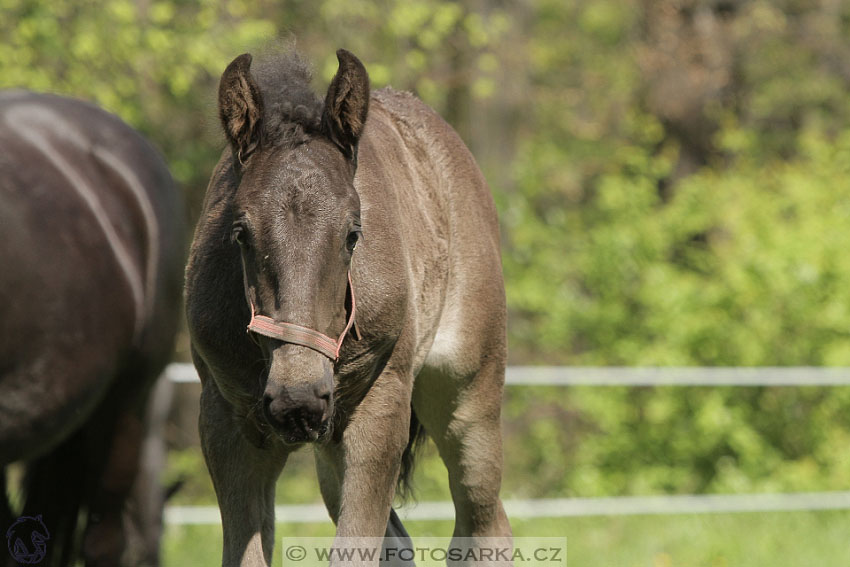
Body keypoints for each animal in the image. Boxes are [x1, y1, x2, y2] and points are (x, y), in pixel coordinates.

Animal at [186, 47, 510, 564]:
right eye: (241, 234)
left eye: (353, 234)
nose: (296, 399)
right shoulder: (227, 425)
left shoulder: (380, 413)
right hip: (329, 451)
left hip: (468, 395)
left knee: (483, 524)